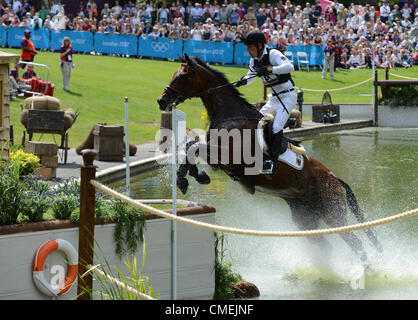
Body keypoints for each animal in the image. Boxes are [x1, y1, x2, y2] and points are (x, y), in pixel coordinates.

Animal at [157, 54, 382, 264]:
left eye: (184, 76)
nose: (161, 100)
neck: (230, 116)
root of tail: (335, 178)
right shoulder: (218, 160)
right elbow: (191, 147)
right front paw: (192, 176)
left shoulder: (231, 158)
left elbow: (193, 146)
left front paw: (185, 179)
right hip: (304, 217)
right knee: (325, 244)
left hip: (333, 214)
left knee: (356, 243)